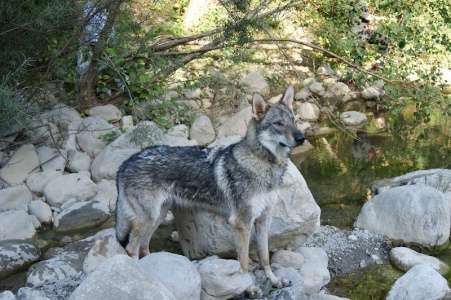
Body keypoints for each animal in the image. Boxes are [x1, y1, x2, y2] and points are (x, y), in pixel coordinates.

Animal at [115, 85, 308, 296]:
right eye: (278, 123)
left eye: (293, 120)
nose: (301, 138)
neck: (263, 162)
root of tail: (125, 163)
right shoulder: (241, 224)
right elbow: (244, 263)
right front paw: (249, 287)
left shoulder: (263, 220)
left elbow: (265, 258)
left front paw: (274, 281)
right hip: (149, 219)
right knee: (131, 249)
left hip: (157, 217)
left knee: (143, 247)